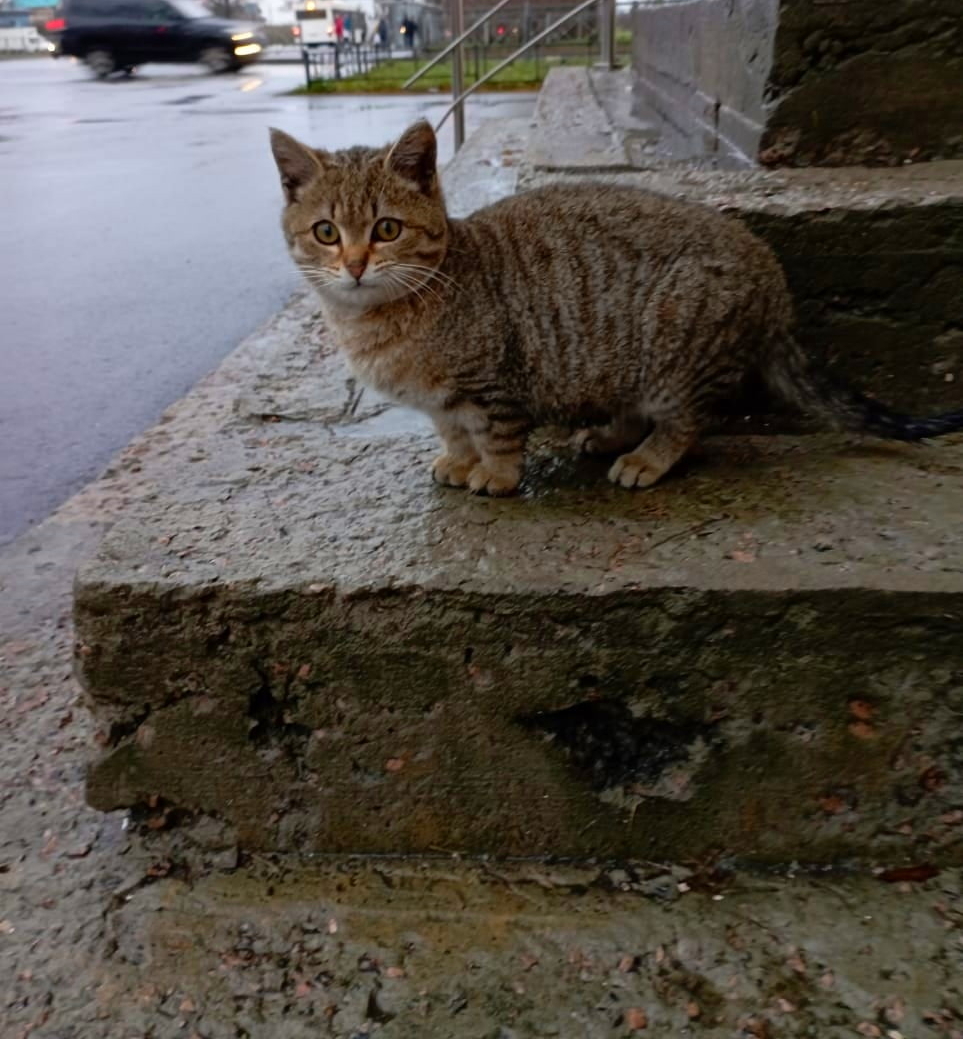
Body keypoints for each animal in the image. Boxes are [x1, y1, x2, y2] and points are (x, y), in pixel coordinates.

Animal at [270, 120, 963, 494]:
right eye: (326, 232)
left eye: (386, 229)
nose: (354, 264)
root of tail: (772, 275)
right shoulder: (445, 402)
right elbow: (454, 431)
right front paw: (458, 461)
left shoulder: (494, 383)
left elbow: (497, 435)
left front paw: (495, 475)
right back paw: (609, 436)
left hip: (678, 350)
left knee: (689, 420)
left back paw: (646, 458)